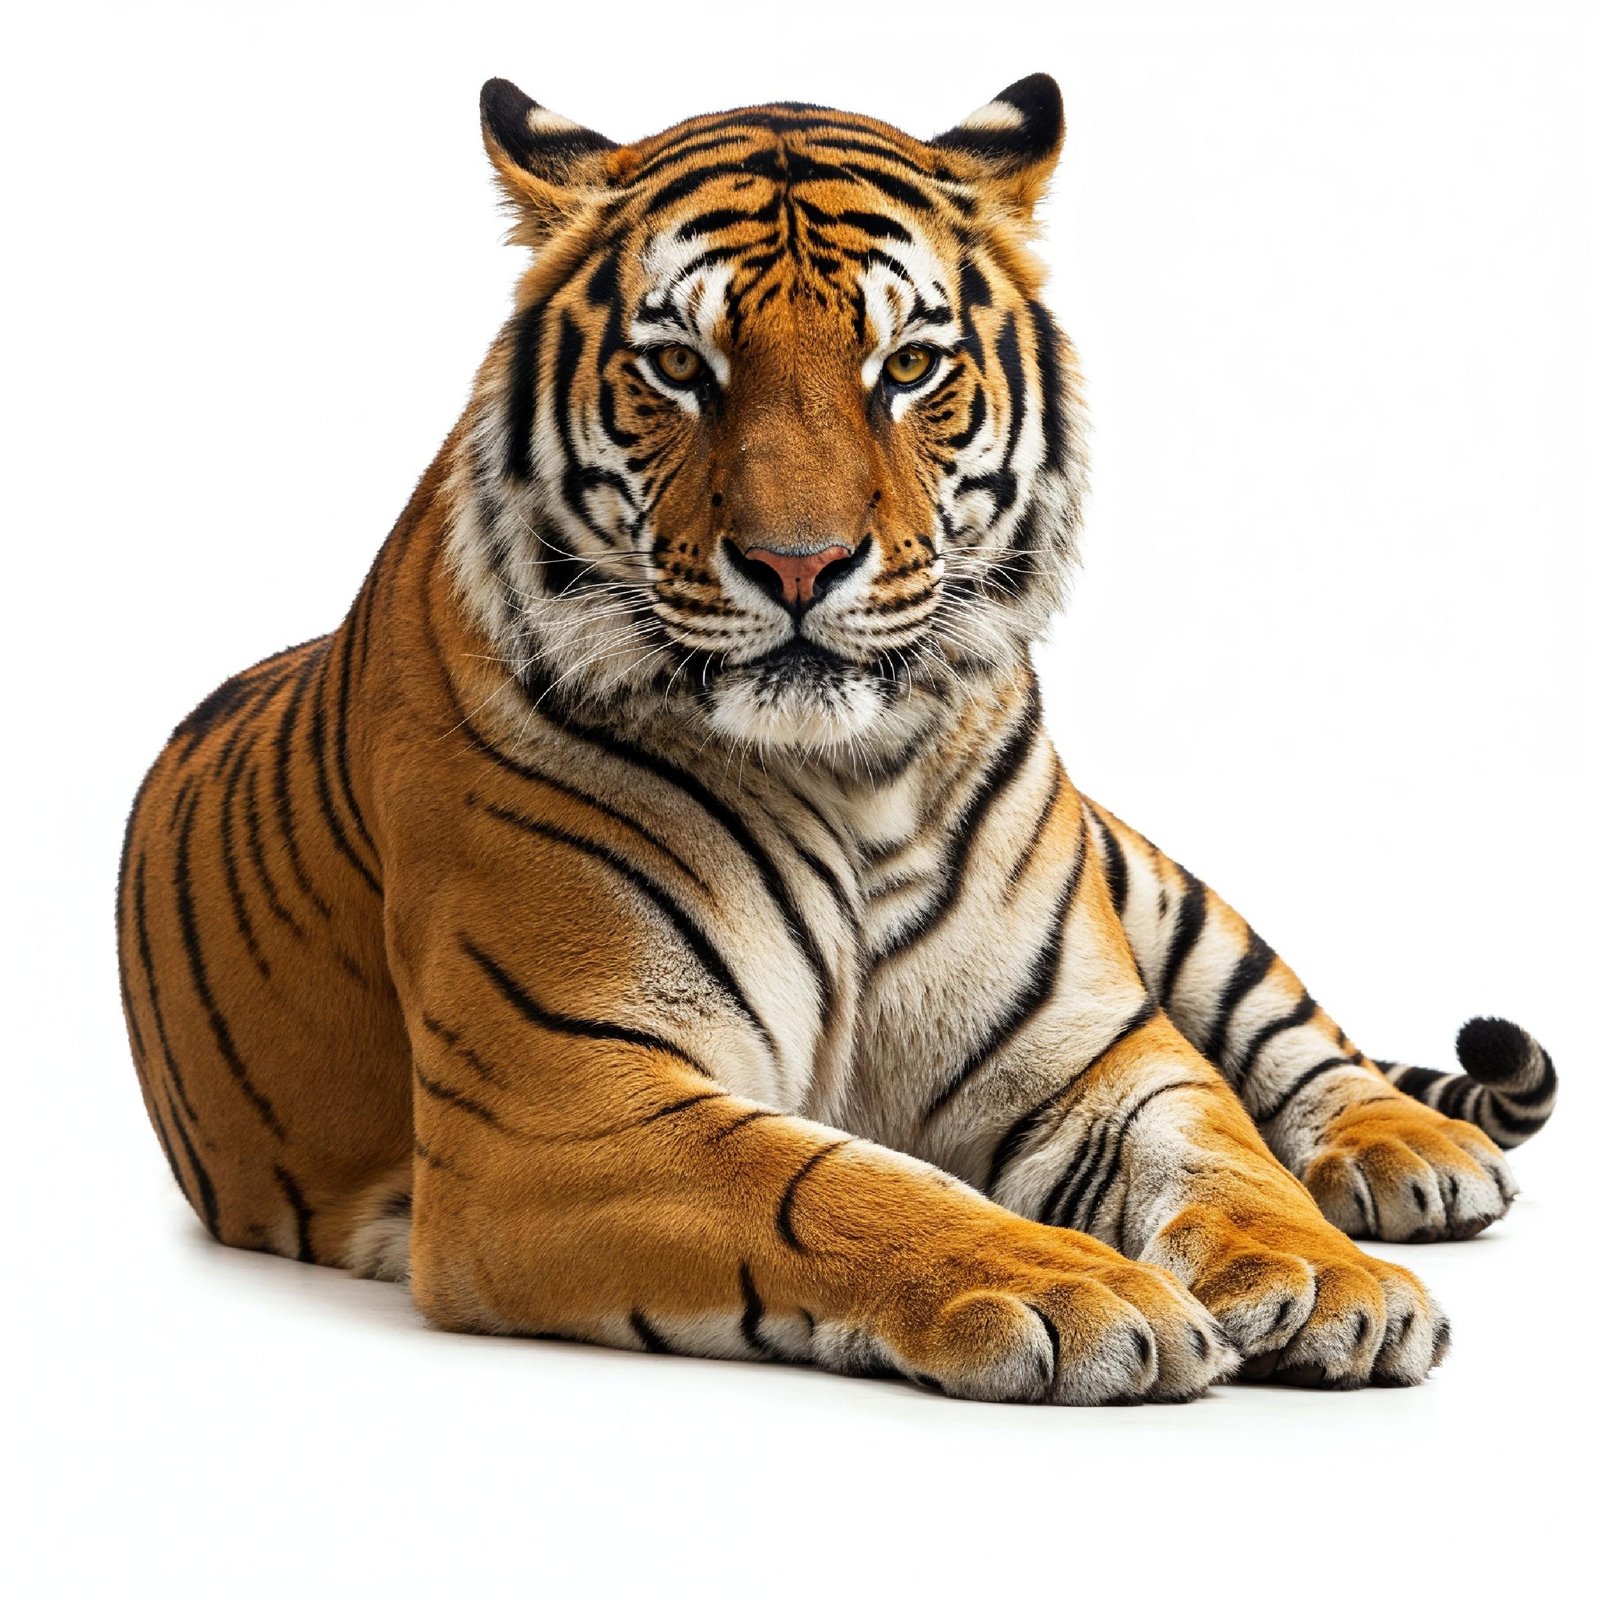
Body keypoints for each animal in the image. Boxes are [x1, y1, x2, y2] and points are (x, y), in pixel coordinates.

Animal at [116, 73, 1557, 1404]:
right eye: (679, 368)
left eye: (907, 366)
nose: (798, 564)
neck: (857, 776)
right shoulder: (560, 1098)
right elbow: (833, 1183)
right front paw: (1083, 1289)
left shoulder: (1095, 1047)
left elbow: (1217, 1142)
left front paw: (1327, 1275)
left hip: (1149, 877)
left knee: (1288, 1022)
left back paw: (1408, 1153)